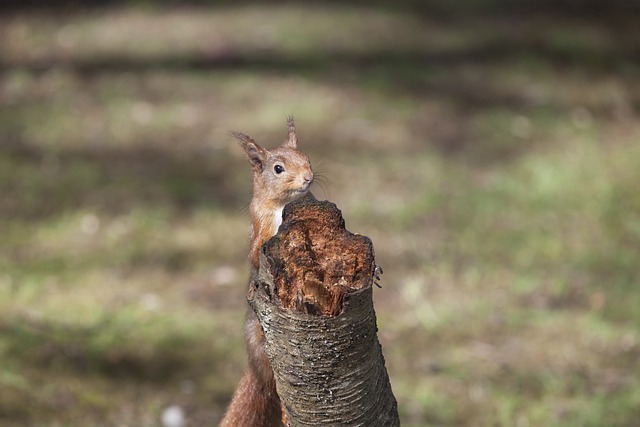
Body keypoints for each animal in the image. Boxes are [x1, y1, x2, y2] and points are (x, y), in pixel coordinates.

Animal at [220, 117, 316, 427]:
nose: (308, 178)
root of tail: (255, 371)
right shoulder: (258, 226)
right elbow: (255, 253)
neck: (283, 206)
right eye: (278, 168)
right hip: (262, 349)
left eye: (306, 157)